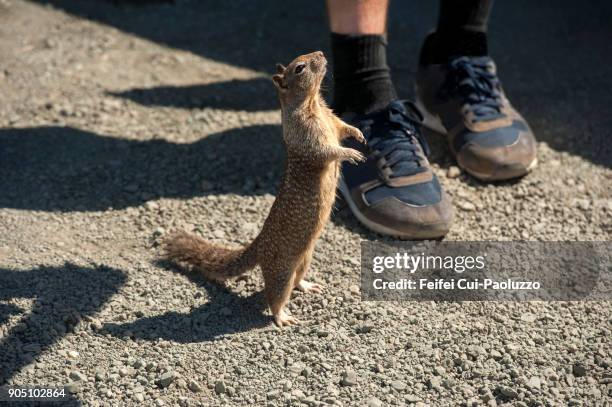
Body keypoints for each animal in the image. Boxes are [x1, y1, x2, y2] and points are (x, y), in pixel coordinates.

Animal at [164, 51, 364, 326]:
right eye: (300, 67)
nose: (322, 54)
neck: (312, 102)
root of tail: (259, 244)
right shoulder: (308, 136)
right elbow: (326, 151)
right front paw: (350, 153)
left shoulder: (331, 118)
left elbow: (343, 128)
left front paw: (359, 134)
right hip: (281, 271)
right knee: (275, 295)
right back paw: (282, 317)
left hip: (305, 259)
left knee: (297, 280)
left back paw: (308, 286)